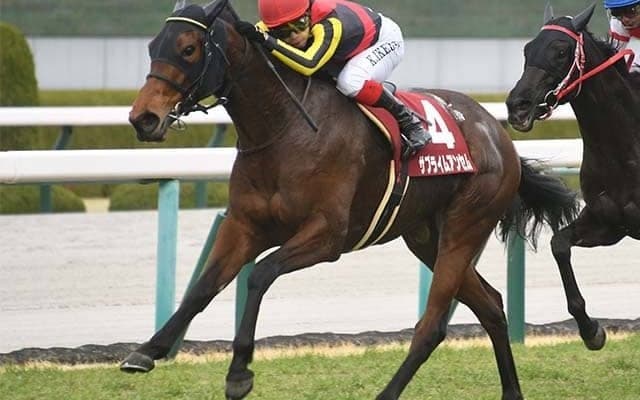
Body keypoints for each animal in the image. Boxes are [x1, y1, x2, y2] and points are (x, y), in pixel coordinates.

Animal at [122, 1, 578, 399]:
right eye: (152, 46)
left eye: (188, 48)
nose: (143, 118)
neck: (284, 129)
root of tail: (497, 134)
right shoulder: (244, 225)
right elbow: (202, 288)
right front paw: (146, 351)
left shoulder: (328, 236)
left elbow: (260, 274)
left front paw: (239, 372)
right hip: (428, 238)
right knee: (491, 306)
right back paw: (511, 391)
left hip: (465, 228)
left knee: (432, 326)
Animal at [506, 3, 640, 352]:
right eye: (527, 50)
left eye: (561, 51)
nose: (517, 106)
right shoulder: (608, 223)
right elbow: (559, 244)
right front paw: (591, 330)